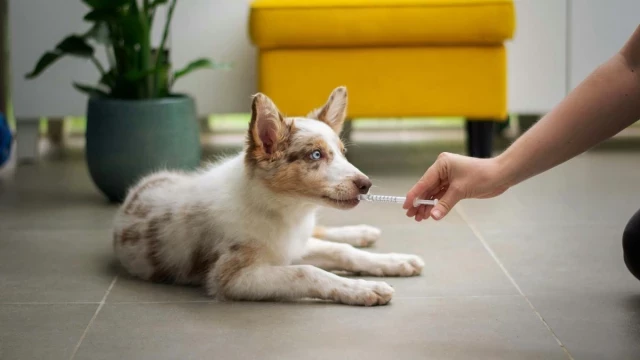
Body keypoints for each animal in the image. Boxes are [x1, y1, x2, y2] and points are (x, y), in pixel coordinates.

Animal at [112, 87, 424, 306]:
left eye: (343, 153)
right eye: (316, 155)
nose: (366, 185)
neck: (282, 209)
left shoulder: (292, 245)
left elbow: (341, 252)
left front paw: (393, 262)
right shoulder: (233, 277)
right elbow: (308, 272)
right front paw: (364, 288)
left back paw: (363, 233)